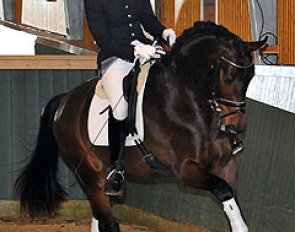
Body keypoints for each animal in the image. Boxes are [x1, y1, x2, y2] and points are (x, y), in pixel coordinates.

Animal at [15, 20, 268, 231]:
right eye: (228, 77)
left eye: (250, 76)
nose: (236, 126)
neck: (186, 103)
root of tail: (64, 100)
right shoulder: (185, 170)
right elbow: (223, 189)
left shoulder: (226, 166)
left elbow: (232, 203)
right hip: (89, 172)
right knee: (108, 222)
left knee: (99, 218)